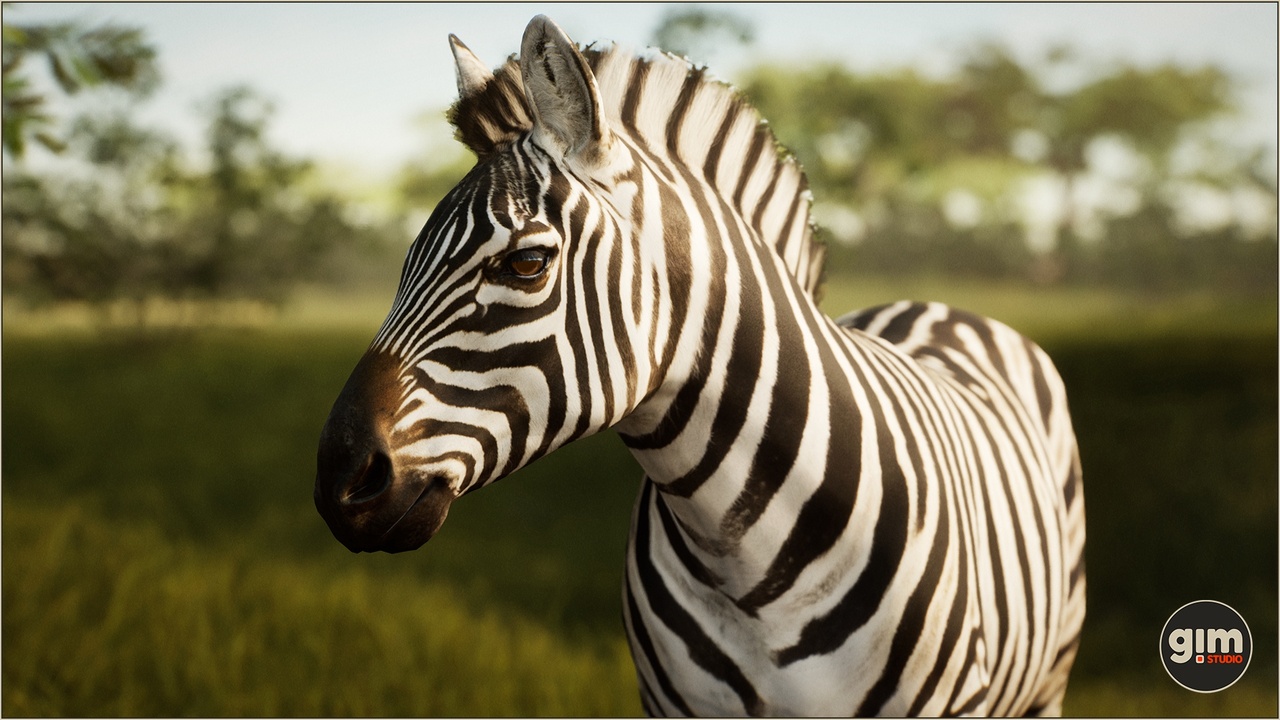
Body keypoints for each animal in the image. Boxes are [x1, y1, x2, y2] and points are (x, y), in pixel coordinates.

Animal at [314, 15, 1086, 717]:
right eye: (405, 261)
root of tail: (932, 305)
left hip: (1050, 674)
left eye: (526, 263)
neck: (744, 562)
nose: (336, 485)